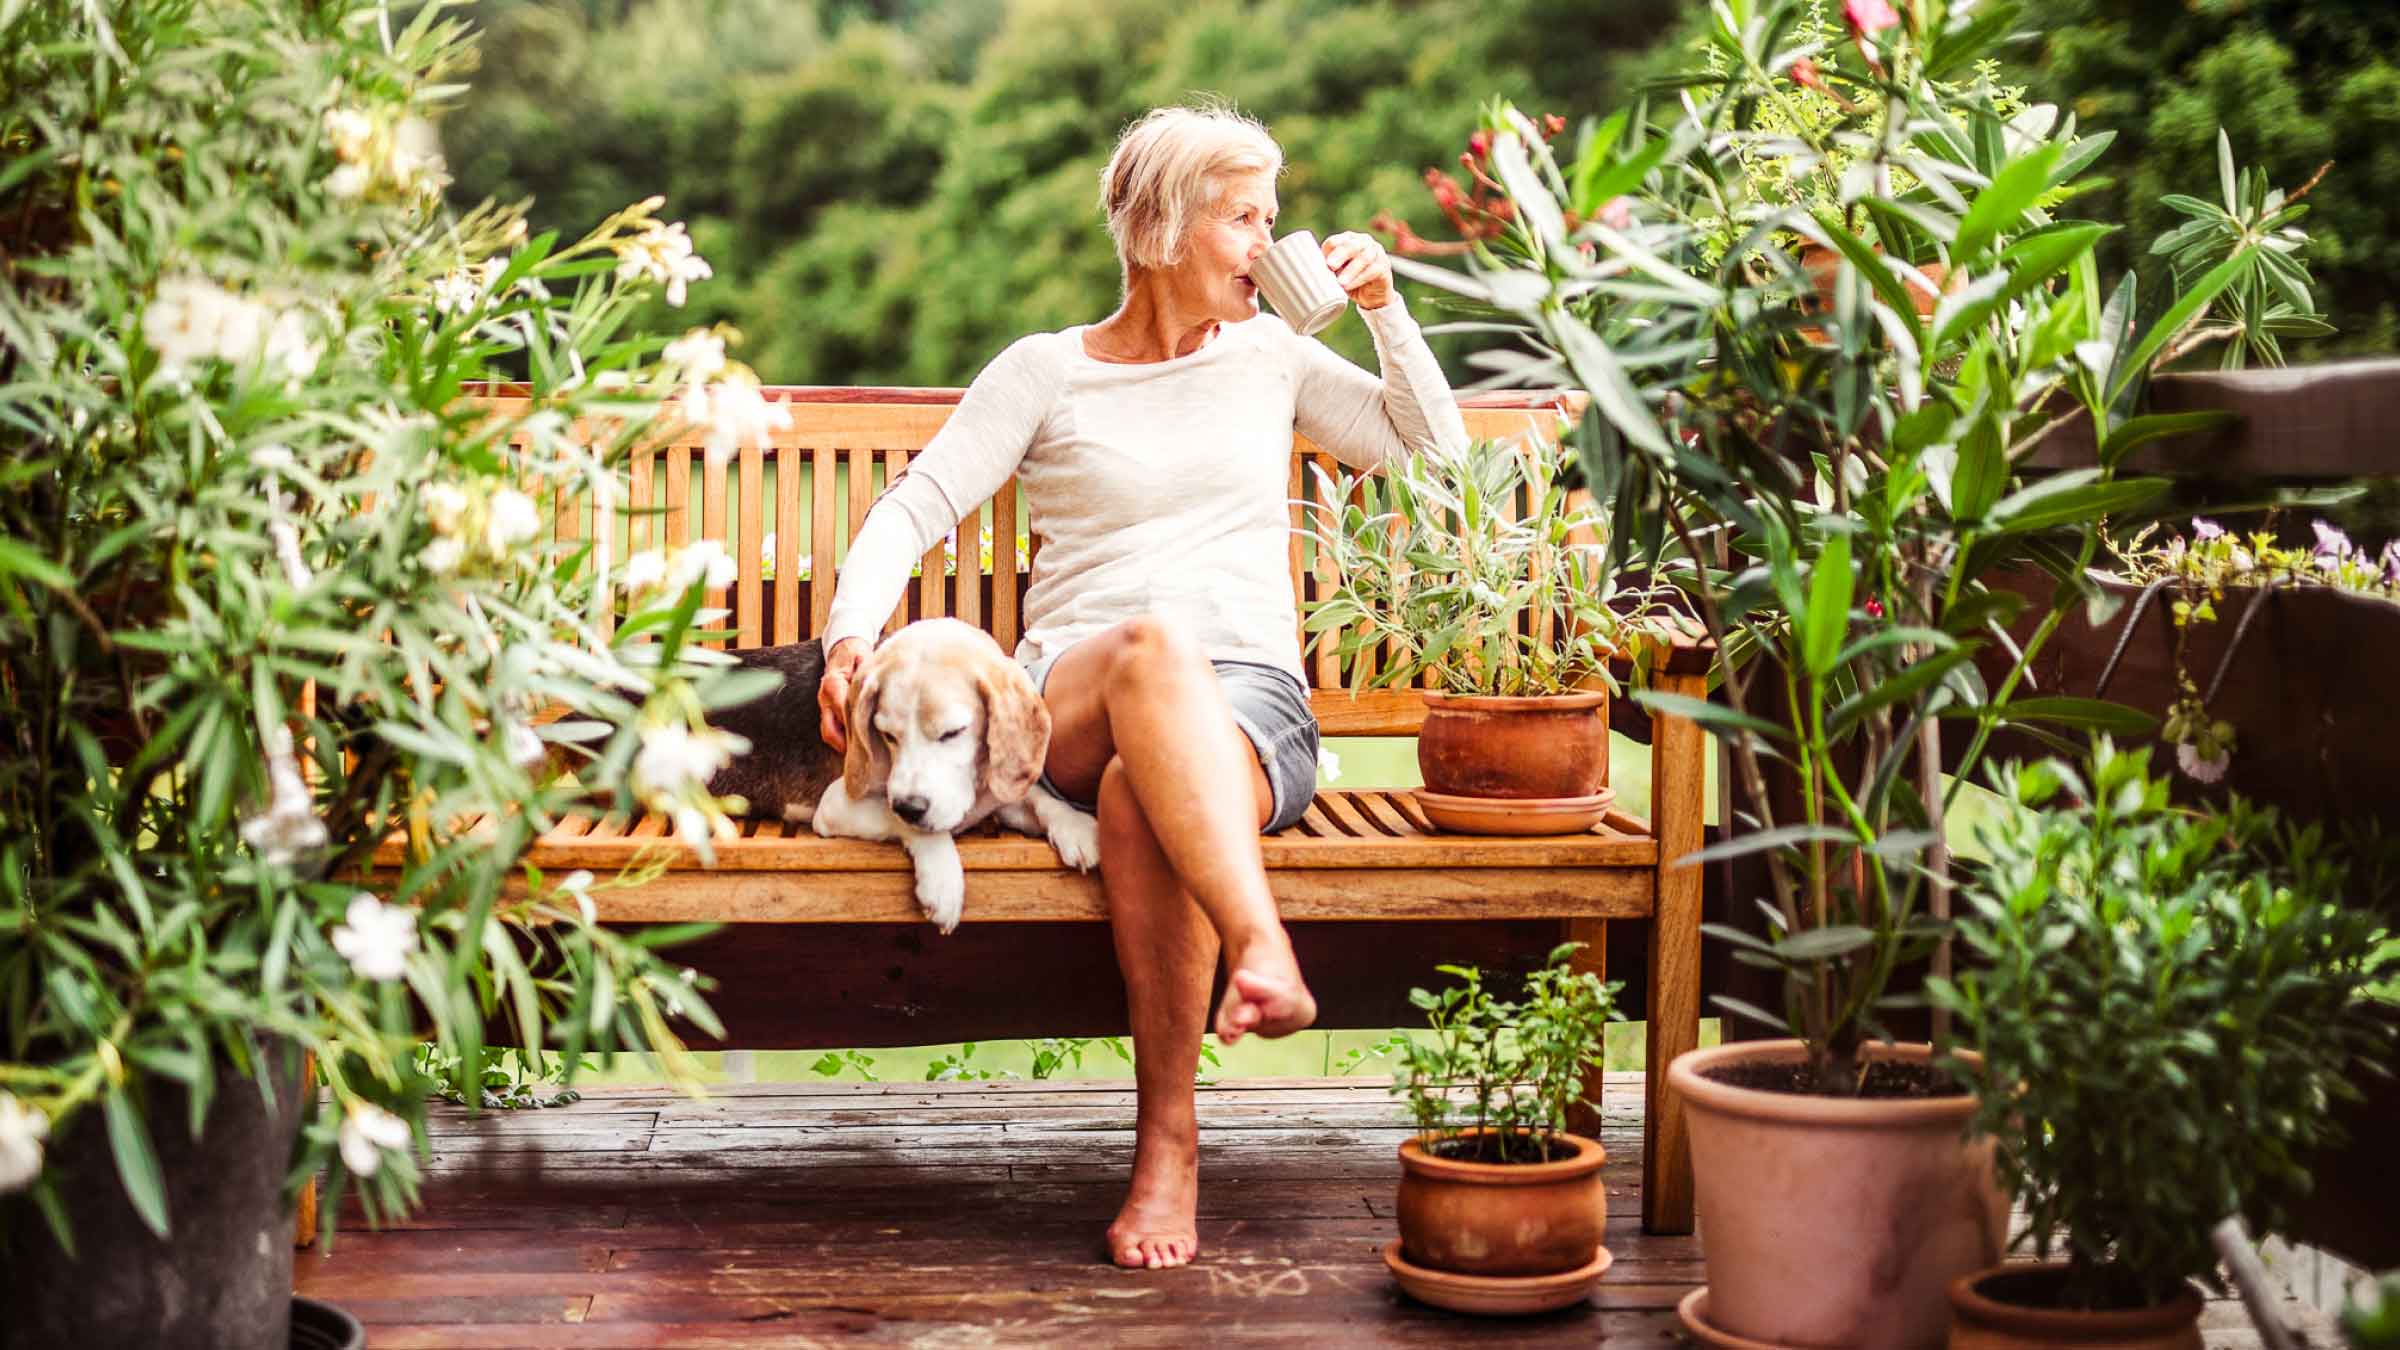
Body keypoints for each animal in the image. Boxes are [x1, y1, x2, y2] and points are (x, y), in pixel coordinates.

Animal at [700, 619, 1099, 922]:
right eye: (888, 735)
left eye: (953, 733)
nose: (912, 806)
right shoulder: (836, 805)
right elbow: (906, 823)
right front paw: (942, 880)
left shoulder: (993, 798)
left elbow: (1038, 799)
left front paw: (1076, 827)